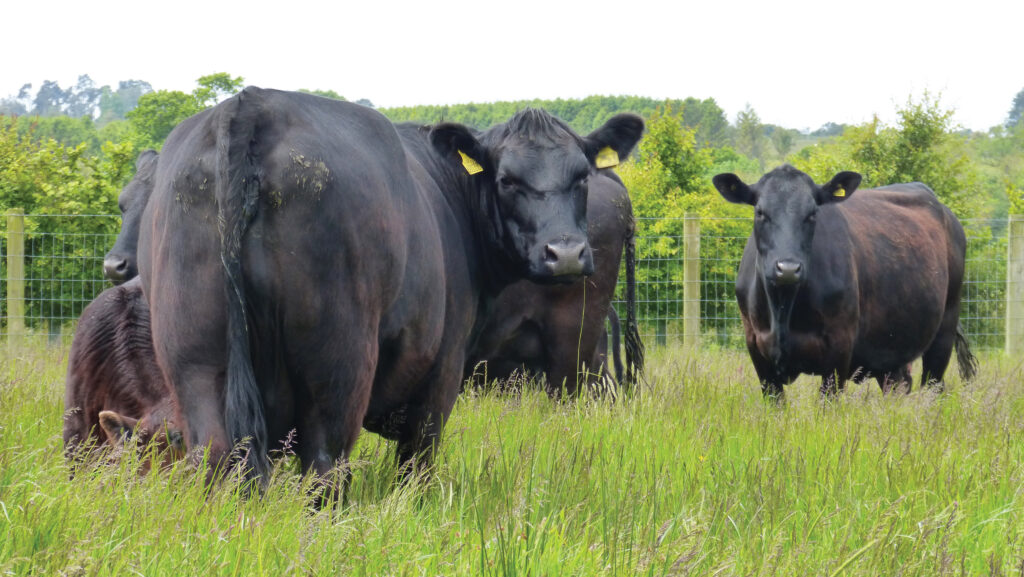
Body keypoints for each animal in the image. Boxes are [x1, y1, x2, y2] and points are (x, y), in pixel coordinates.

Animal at [139, 88, 643, 485]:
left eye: (581, 175)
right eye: (507, 179)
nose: (566, 253)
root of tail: (253, 104)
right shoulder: (443, 369)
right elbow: (417, 463)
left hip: (194, 356)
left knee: (216, 457)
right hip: (344, 362)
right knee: (325, 463)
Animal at [712, 165, 974, 399]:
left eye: (812, 213)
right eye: (760, 212)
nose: (787, 268)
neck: (783, 310)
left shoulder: (839, 349)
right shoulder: (758, 351)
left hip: (945, 328)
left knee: (933, 387)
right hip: (891, 350)